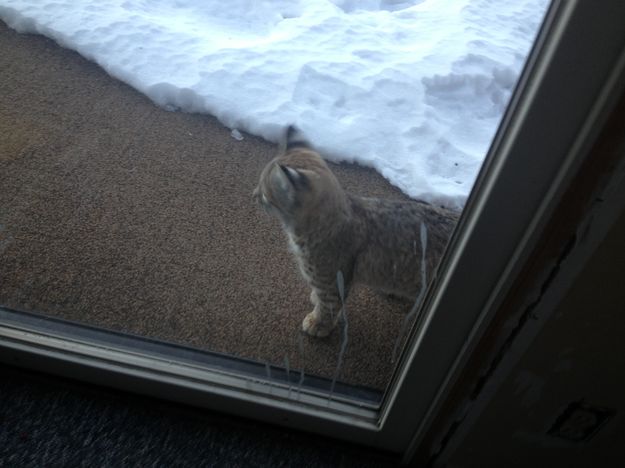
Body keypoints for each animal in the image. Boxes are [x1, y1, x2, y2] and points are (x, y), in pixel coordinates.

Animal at [251, 124, 456, 336]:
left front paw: (318, 324)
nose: (253, 195)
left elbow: (328, 306)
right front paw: (315, 302)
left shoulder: (331, 281)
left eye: (265, 194)